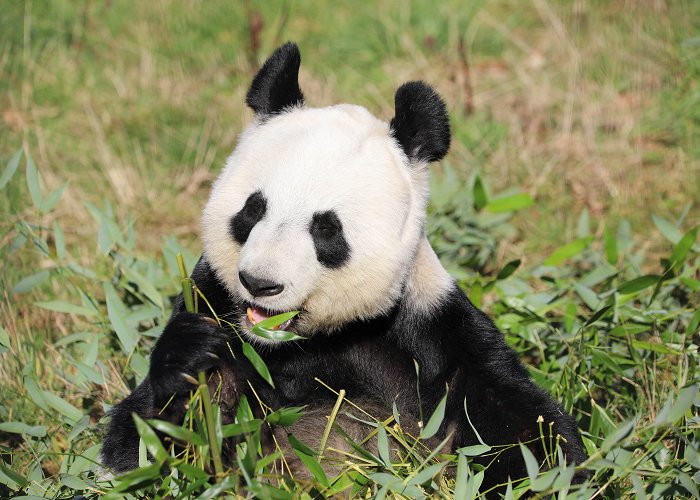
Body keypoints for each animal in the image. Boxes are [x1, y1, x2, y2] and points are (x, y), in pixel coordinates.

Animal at [101, 42, 588, 492]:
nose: (260, 283)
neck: (305, 342)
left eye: (326, 229)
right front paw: (192, 358)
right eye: (253, 210)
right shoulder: (214, 301)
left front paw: (556, 476)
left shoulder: (432, 330)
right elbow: (149, 448)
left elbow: (522, 426)